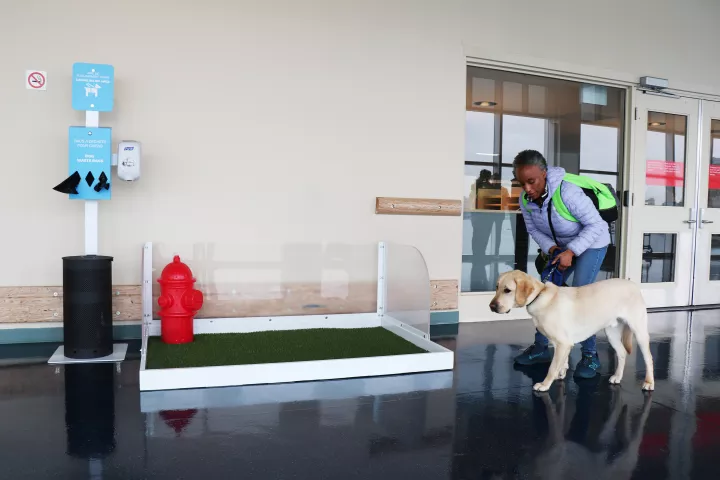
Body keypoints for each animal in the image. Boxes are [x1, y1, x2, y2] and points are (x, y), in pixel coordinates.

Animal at [490, 272, 652, 392]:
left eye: (507, 290)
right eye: (496, 287)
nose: (491, 306)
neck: (540, 296)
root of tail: (633, 285)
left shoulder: (563, 343)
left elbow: (552, 367)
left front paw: (545, 384)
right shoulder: (562, 344)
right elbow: (562, 363)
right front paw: (561, 373)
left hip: (639, 332)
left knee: (649, 358)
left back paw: (649, 383)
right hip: (611, 334)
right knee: (622, 353)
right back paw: (617, 376)